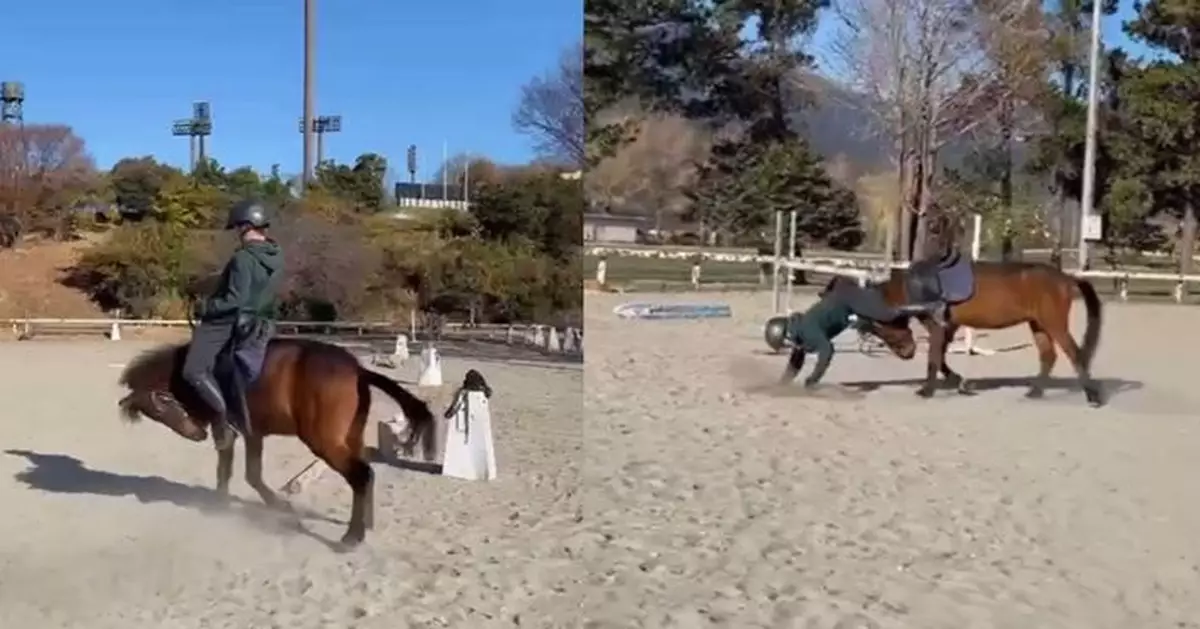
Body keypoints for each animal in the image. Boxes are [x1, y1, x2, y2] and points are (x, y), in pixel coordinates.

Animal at [117, 337, 437, 549]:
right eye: (155, 414)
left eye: (159, 406)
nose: (196, 434)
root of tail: (358, 370)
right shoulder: (248, 433)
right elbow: (242, 472)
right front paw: (225, 504)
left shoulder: (231, 431)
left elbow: (242, 472)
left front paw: (275, 504)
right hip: (350, 437)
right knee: (365, 474)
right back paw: (365, 524)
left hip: (323, 441)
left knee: (361, 475)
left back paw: (351, 537)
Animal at [862, 259, 1104, 406]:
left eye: (883, 327)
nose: (907, 353)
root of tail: (1067, 278)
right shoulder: (950, 326)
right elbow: (941, 358)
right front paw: (959, 382)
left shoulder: (938, 326)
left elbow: (934, 359)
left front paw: (927, 390)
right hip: (1038, 324)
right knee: (1048, 356)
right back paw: (1034, 393)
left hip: (1053, 323)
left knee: (1074, 353)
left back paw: (1093, 396)